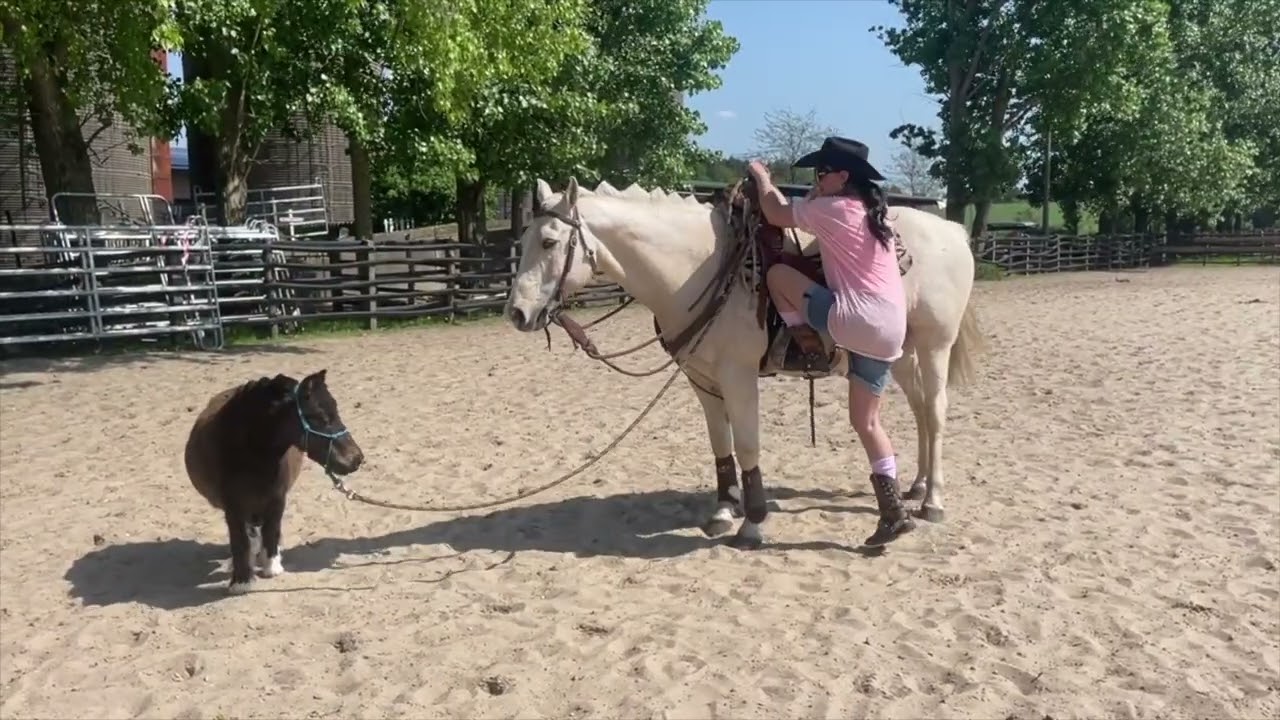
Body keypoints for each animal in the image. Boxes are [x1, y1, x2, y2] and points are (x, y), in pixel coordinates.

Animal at [184, 368, 364, 593]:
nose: (357, 459)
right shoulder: (233, 507)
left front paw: (272, 567)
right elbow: (240, 540)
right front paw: (241, 581)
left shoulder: (277, 499)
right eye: (320, 417)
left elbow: (272, 529)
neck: (251, 455)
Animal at [504, 177, 982, 549]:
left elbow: (748, 444)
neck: (702, 270)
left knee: (935, 411)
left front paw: (752, 524)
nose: (517, 314)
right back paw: (917, 486)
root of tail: (952, 231)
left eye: (549, 241)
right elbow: (721, 443)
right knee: (920, 411)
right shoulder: (701, 379)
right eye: (522, 242)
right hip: (896, 356)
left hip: (935, 346)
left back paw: (933, 501)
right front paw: (723, 511)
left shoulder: (738, 376)